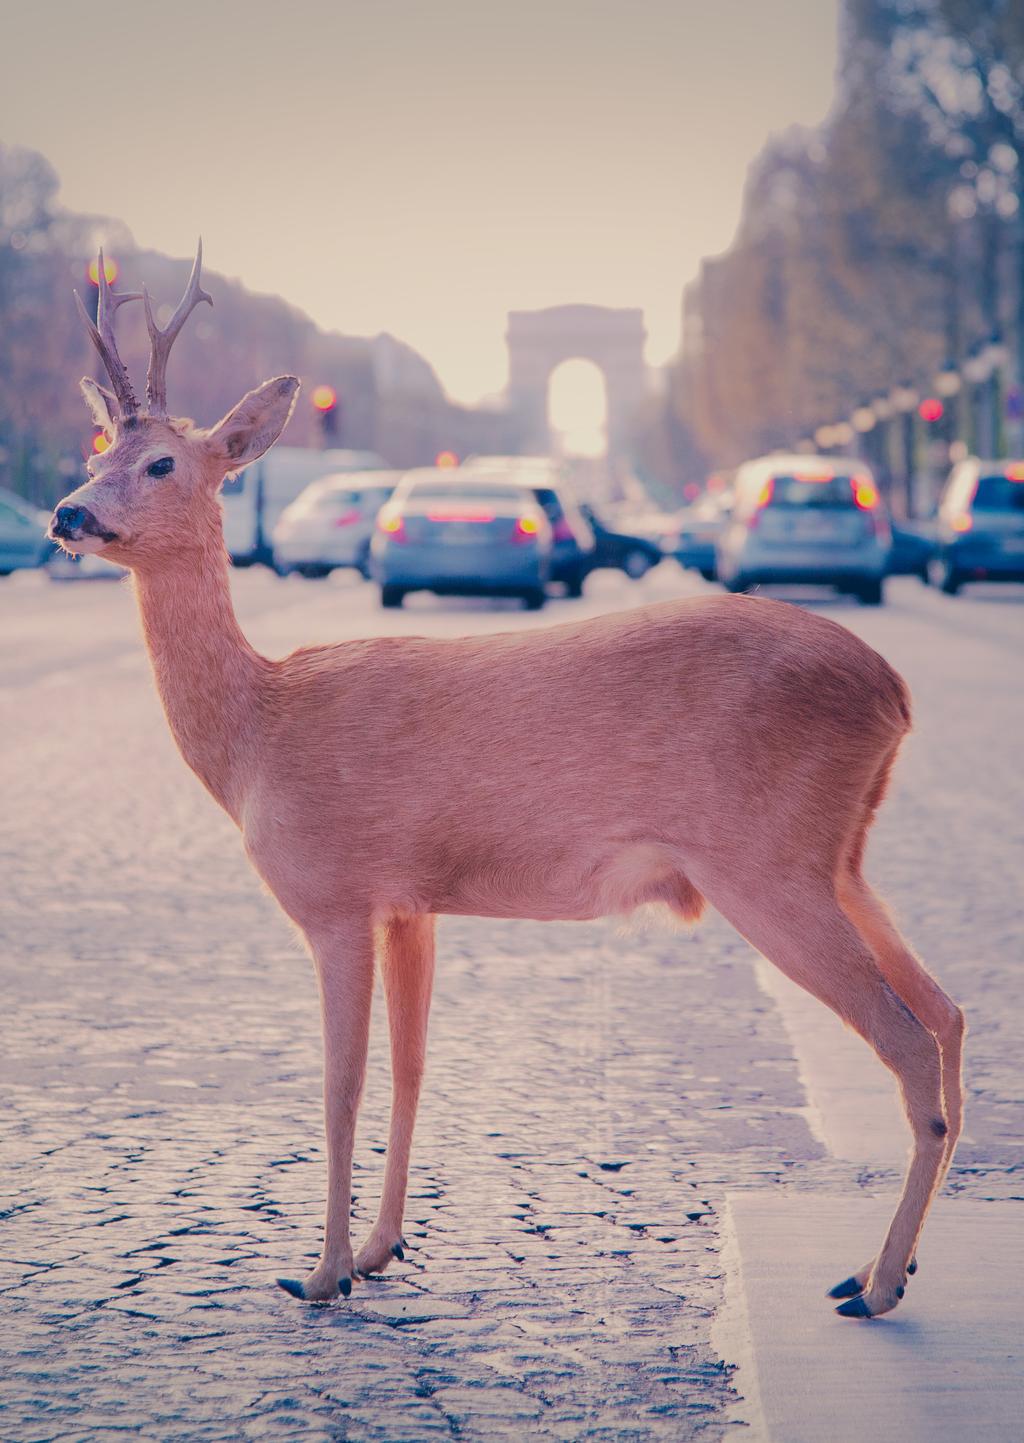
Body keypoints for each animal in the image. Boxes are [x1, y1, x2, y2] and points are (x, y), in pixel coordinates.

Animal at [52, 251, 969, 1321]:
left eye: (163, 462)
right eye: (98, 444)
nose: (68, 513)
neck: (256, 734)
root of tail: (895, 691)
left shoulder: (333, 892)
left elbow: (340, 1086)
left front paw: (320, 1272)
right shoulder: (411, 902)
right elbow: (410, 1069)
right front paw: (382, 1248)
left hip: (765, 861)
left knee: (907, 1038)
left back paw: (876, 1284)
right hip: (839, 857)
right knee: (948, 1011)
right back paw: (885, 1266)